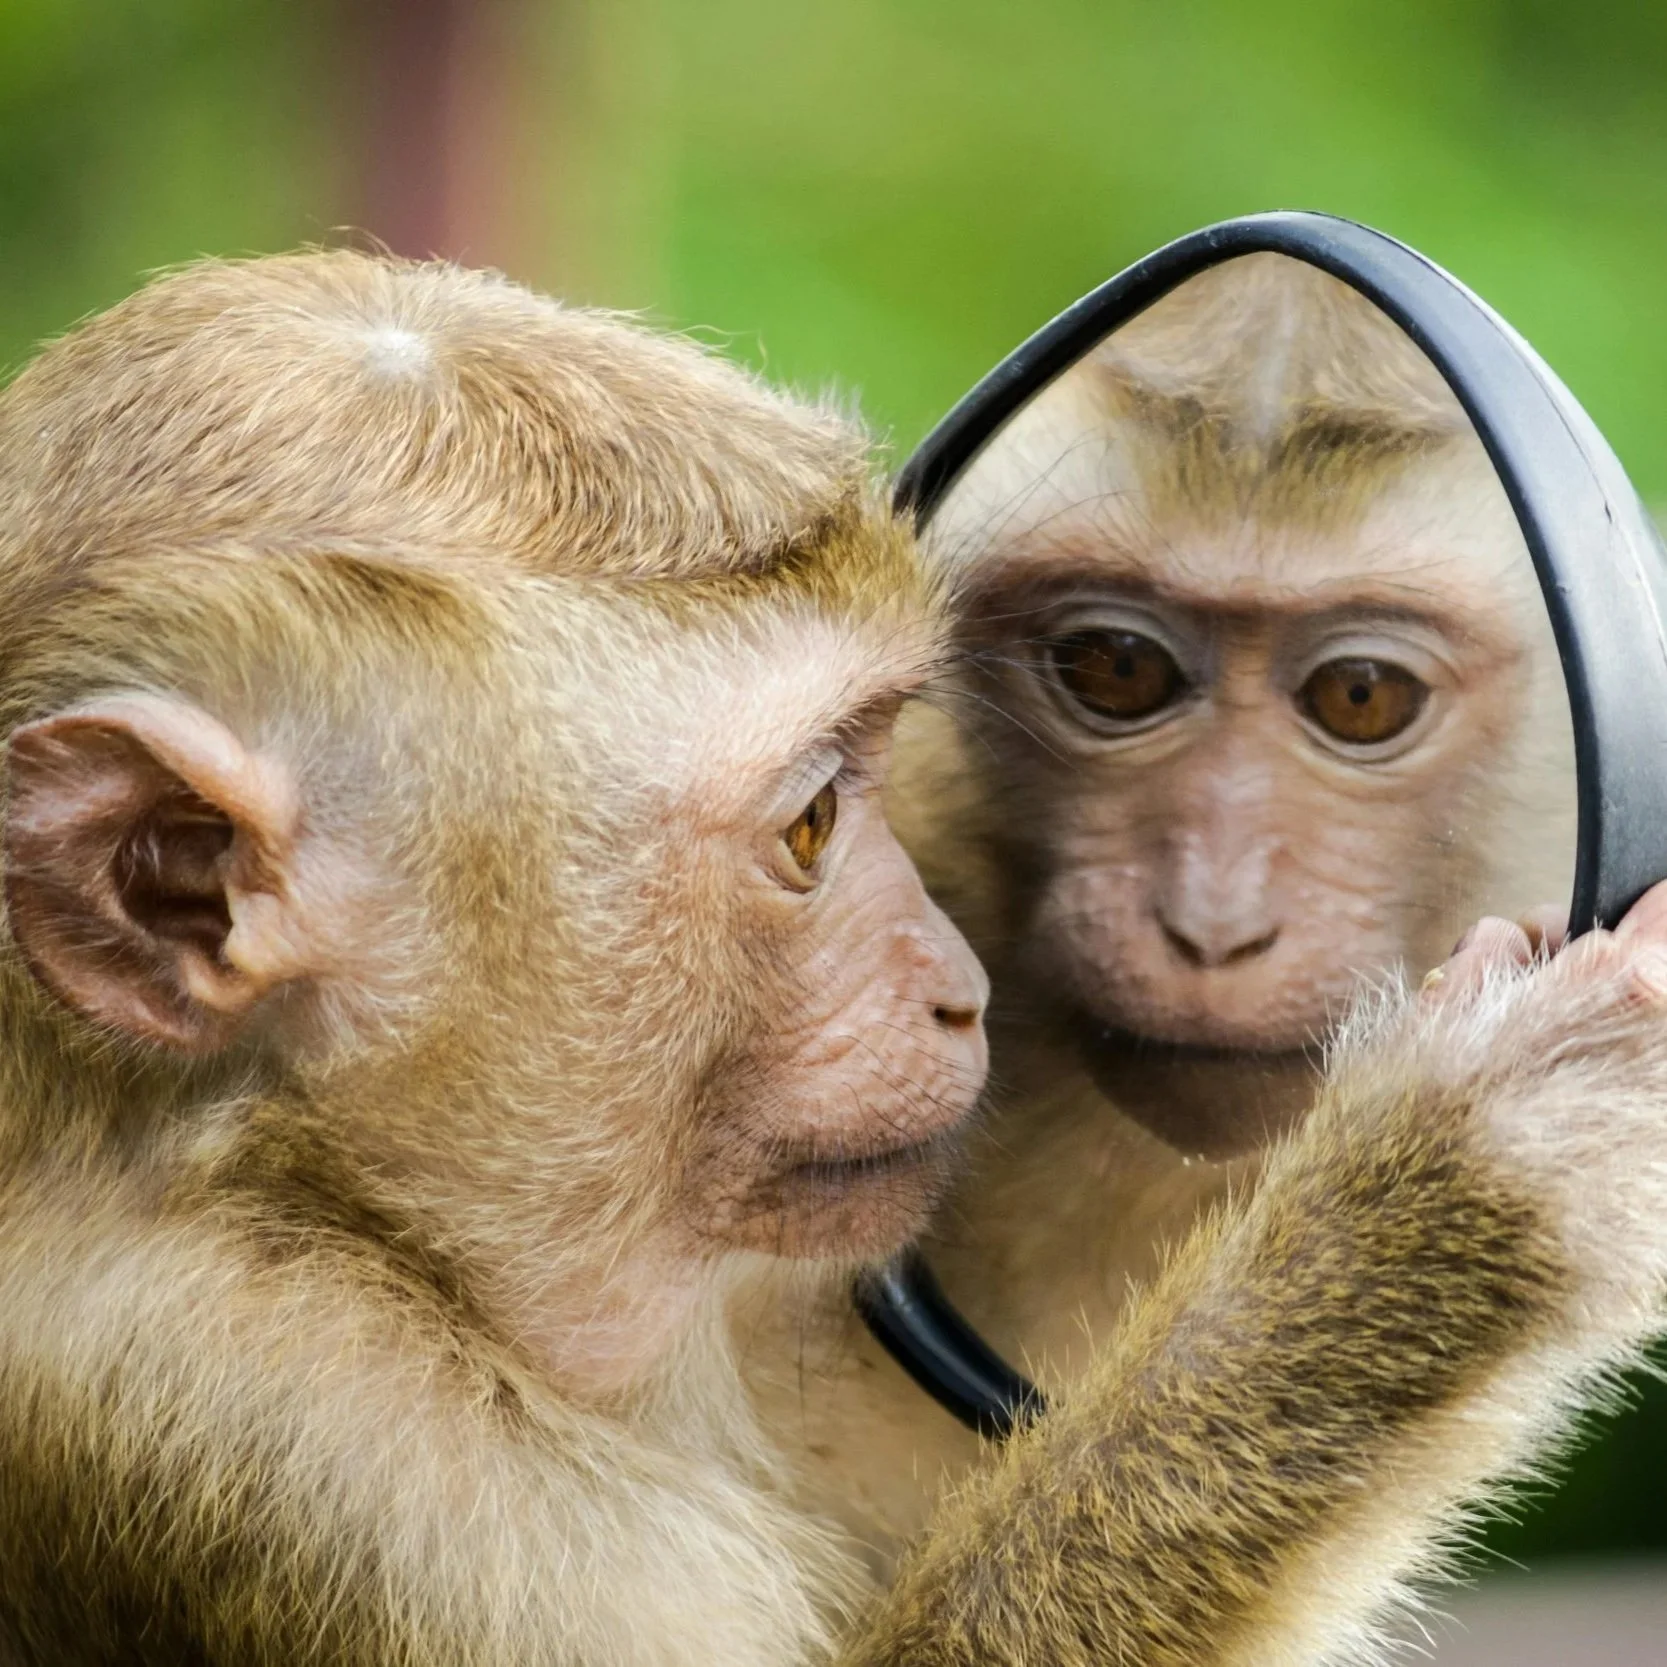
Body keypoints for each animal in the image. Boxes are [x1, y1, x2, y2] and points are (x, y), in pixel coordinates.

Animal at [3, 250, 1667, 1666]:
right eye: (808, 821)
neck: (290, 1180)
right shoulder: (301, 1435)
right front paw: (1482, 1175)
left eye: (879, 759)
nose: (956, 981)